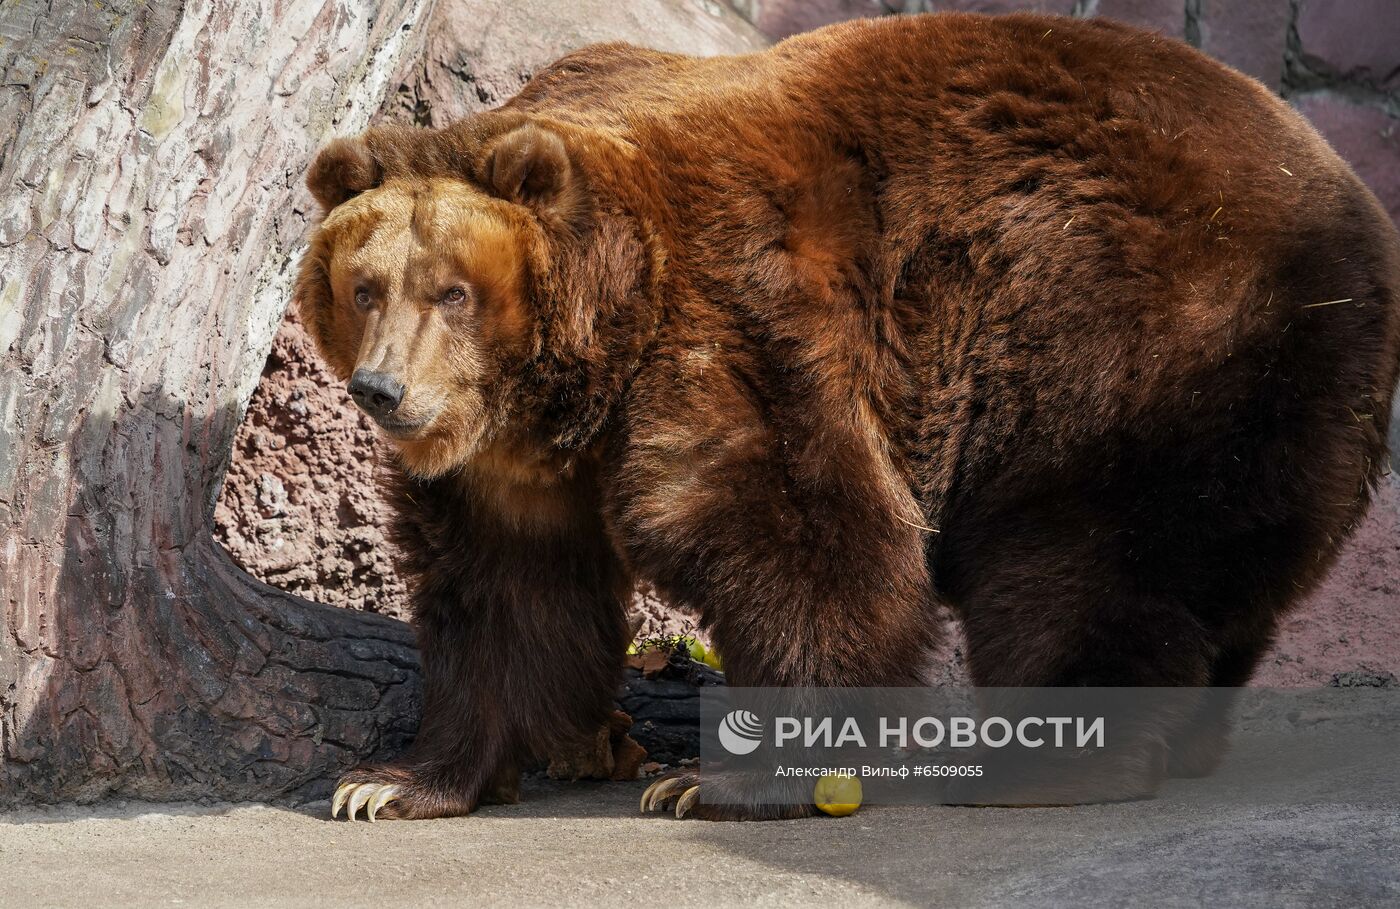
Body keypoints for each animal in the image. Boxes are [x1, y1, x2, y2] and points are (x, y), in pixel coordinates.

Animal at [295, 12, 1400, 823]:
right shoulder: (510, 466)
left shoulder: (741, 318)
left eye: (453, 292)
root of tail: (1351, 196)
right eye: (364, 286)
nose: (383, 391)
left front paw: (713, 779)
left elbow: (802, 539)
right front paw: (391, 782)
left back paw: (1041, 759)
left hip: (1134, 335)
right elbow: (502, 594)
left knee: (1082, 553)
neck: (583, 361)